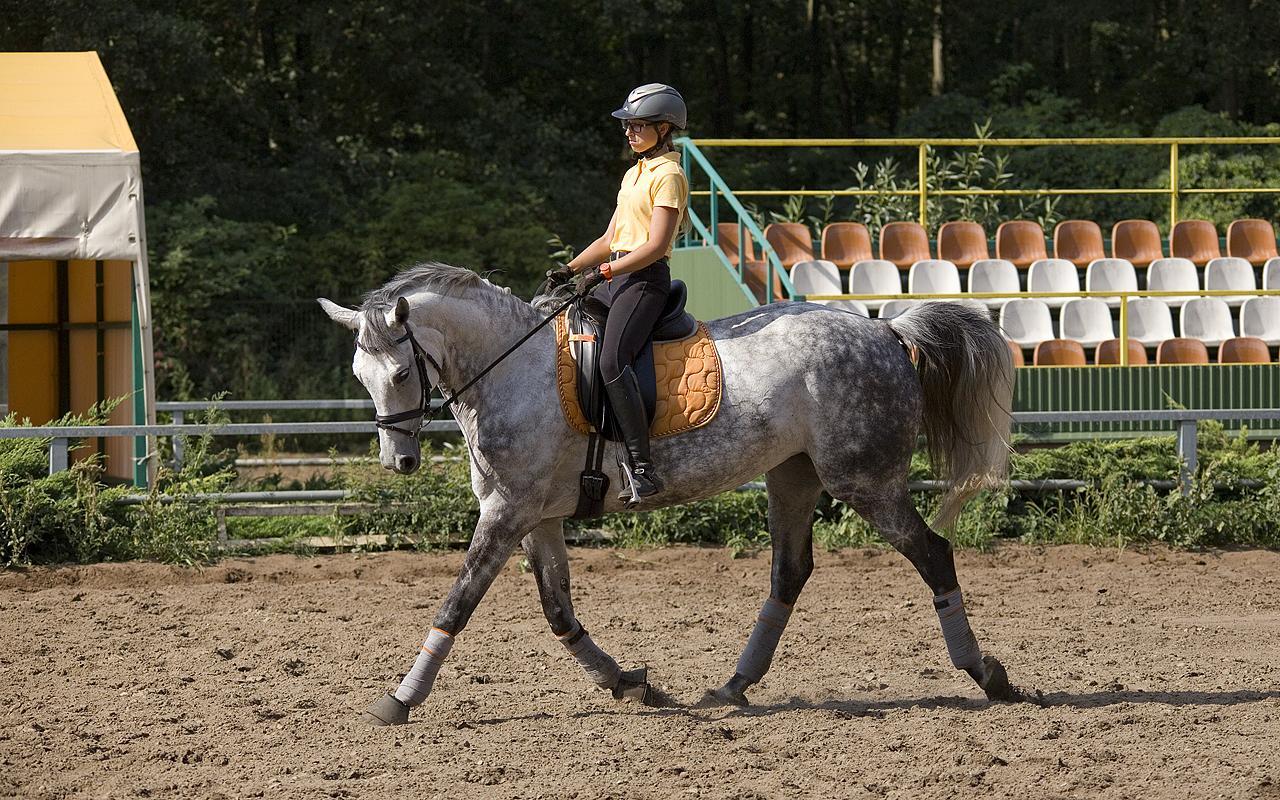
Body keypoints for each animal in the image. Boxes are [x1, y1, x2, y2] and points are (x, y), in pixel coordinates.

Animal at [322, 262, 1018, 721]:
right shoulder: (535, 517)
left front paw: (399, 699)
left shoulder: (507, 512)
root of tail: (888, 332)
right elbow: (557, 611)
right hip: (793, 476)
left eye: (402, 372)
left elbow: (458, 602)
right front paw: (631, 684)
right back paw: (732, 688)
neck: (512, 370)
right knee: (790, 572)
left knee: (932, 553)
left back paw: (988, 675)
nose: (399, 461)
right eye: (359, 374)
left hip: (864, 480)